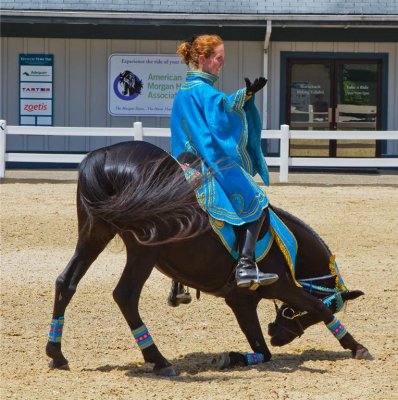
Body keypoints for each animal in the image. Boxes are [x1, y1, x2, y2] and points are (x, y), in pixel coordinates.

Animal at [46, 140, 374, 376]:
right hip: (144, 248)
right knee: (125, 295)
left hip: (94, 234)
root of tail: (104, 156)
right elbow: (319, 306)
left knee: (66, 282)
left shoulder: (241, 302)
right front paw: (357, 347)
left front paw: (233, 357)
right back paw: (158, 360)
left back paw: (56, 353)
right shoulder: (281, 285)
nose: (278, 333)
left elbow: (263, 351)